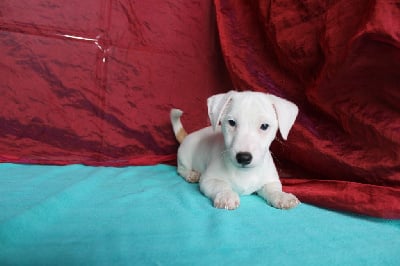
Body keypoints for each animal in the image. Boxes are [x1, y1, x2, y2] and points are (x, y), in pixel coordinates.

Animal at [170, 91, 300, 210]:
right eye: (231, 122)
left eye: (264, 126)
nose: (243, 157)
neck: (245, 173)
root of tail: (187, 136)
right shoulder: (209, 180)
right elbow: (221, 185)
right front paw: (226, 196)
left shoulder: (270, 181)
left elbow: (273, 190)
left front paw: (282, 197)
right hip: (184, 156)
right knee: (181, 169)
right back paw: (191, 174)